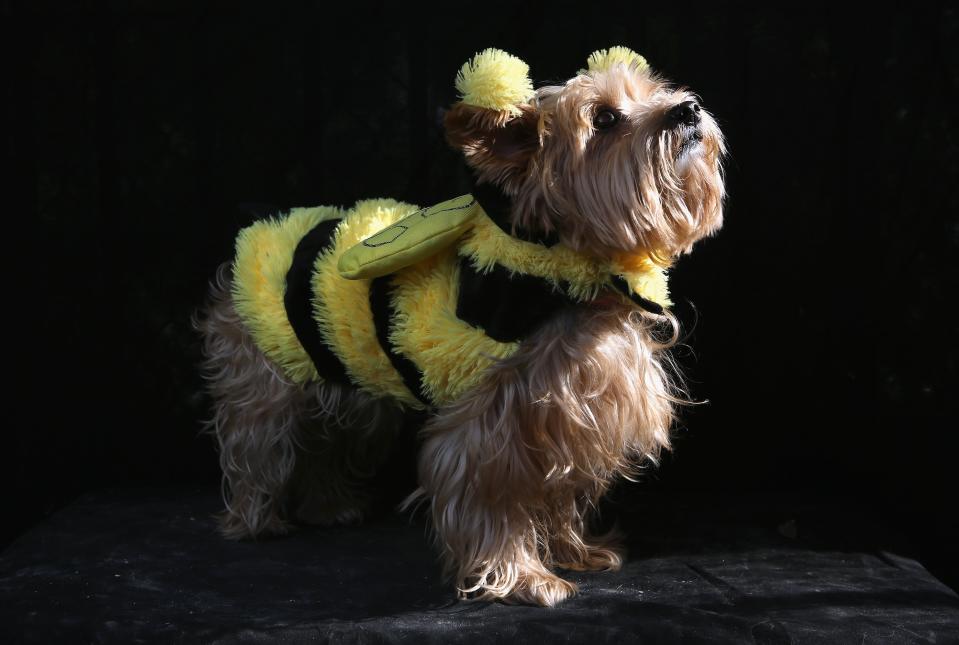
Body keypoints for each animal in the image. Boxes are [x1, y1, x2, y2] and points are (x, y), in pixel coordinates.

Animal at [197, 47, 728, 608]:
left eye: (655, 92)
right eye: (604, 119)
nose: (688, 108)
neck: (567, 266)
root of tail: (264, 226)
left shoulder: (575, 410)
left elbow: (562, 490)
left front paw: (573, 552)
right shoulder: (492, 416)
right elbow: (492, 494)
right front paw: (522, 578)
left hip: (346, 378)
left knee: (329, 438)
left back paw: (329, 507)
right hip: (265, 370)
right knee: (258, 443)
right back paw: (255, 520)